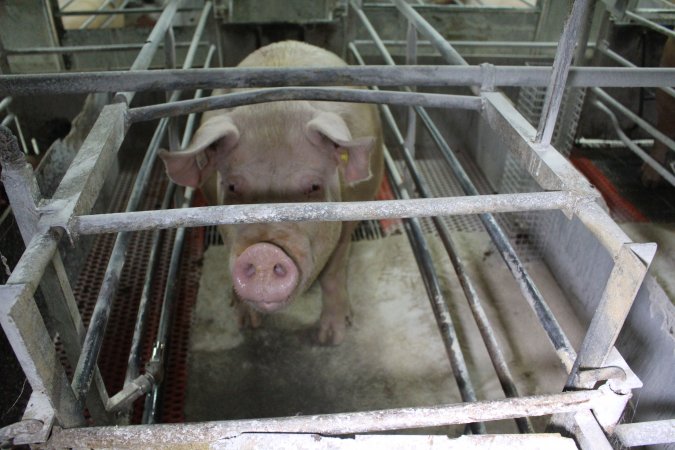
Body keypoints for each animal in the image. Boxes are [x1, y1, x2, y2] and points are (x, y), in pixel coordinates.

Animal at [156, 41, 382, 344]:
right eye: (232, 187)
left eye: (313, 187)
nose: (264, 252)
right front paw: (246, 325)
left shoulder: (347, 223)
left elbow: (333, 273)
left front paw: (332, 337)